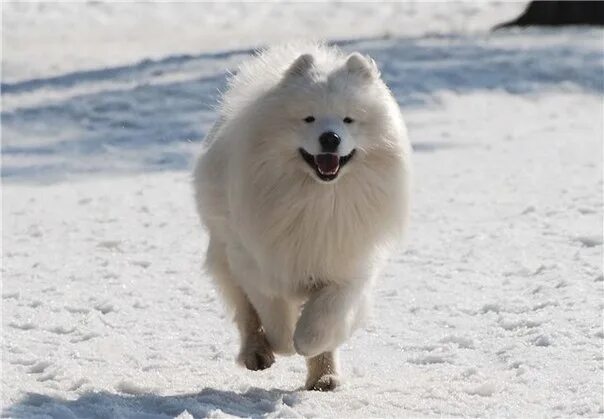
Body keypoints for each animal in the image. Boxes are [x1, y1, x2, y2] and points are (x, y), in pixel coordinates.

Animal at [193, 42, 410, 390]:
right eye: (308, 119)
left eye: (349, 120)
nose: (330, 138)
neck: (317, 200)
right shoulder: (256, 261)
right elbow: (272, 312)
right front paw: (282, 344)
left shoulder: (346, 265)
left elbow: (326, 316)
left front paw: (309, 342)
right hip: (224, 254)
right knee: (246, 314)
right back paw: (258, 354)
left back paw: (324, 378)